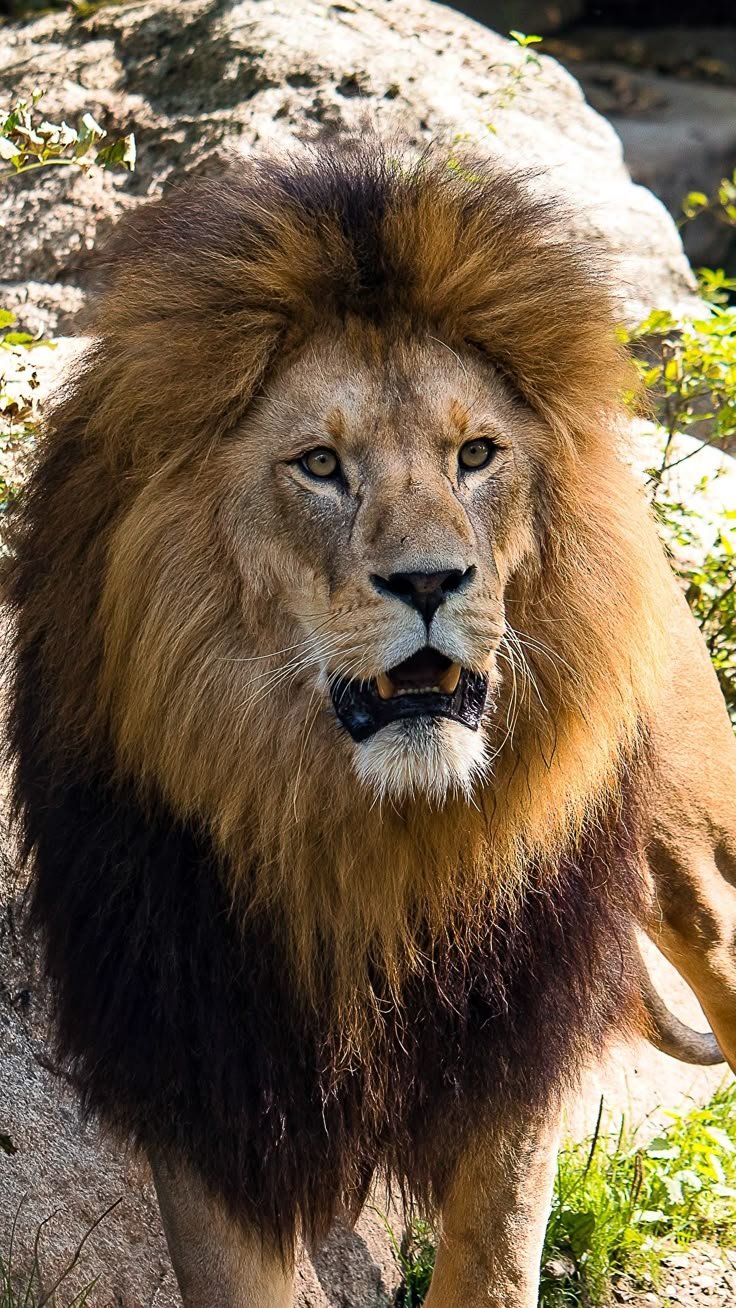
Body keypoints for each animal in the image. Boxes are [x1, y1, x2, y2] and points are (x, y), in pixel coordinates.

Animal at [4, 144, 735, 1308]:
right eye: (319, 465)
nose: (431, 580)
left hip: (697, 860)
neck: (367, 839)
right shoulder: (198, 1052)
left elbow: (490, 1266)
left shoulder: (513, 1037)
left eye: (476, 455)